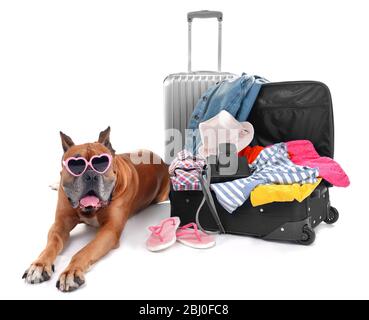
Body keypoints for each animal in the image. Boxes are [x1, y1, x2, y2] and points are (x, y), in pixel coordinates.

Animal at [21, 127, 168, 292]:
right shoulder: (60, 225)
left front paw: (71, 272)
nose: (90, 175)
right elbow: (52, 244)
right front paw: (39, 265)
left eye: (102, 163)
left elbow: (84, 251)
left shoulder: (109, 230)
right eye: (75, 165)